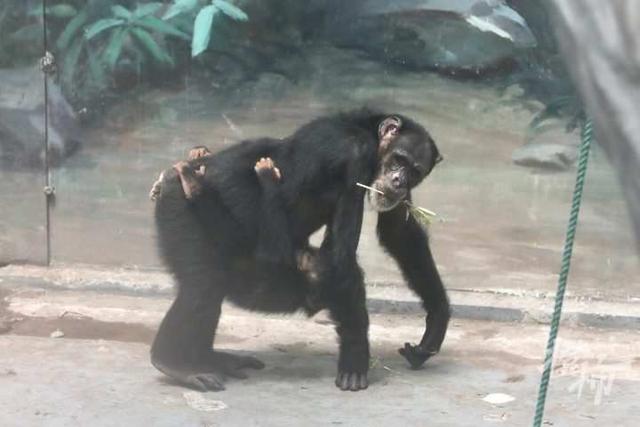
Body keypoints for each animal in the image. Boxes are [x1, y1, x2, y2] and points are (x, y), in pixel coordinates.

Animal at [152, 108, 448, 392]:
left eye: (414, 171)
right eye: (399, 160)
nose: (399, 181)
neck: (370, 135)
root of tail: (168, 178)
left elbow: (399, 232)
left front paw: (436, 323)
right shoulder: (354, 157)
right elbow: (341, 259)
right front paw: (355, 359)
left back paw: (208, 359)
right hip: (180, 214)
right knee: (203, 285)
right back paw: (173, 363)